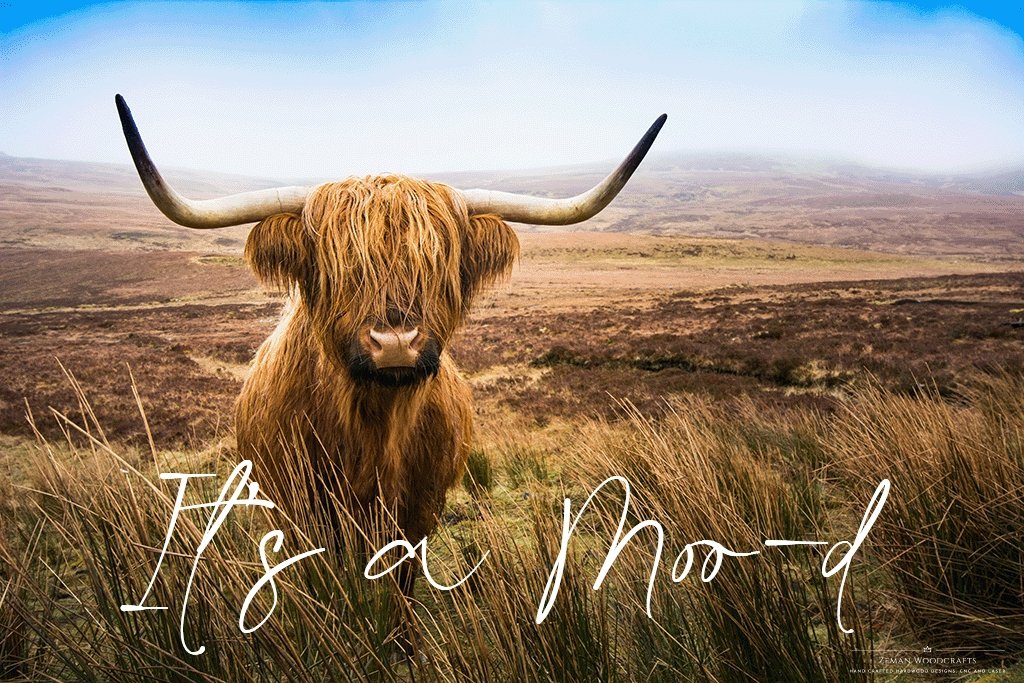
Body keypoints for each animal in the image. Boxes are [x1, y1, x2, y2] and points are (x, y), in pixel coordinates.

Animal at [114, 94, 665, 616]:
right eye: (339, 265)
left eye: (437, 261)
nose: (396, 343)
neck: (371, 431)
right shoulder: (300, 513)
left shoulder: (418, 514)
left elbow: (399, 591)